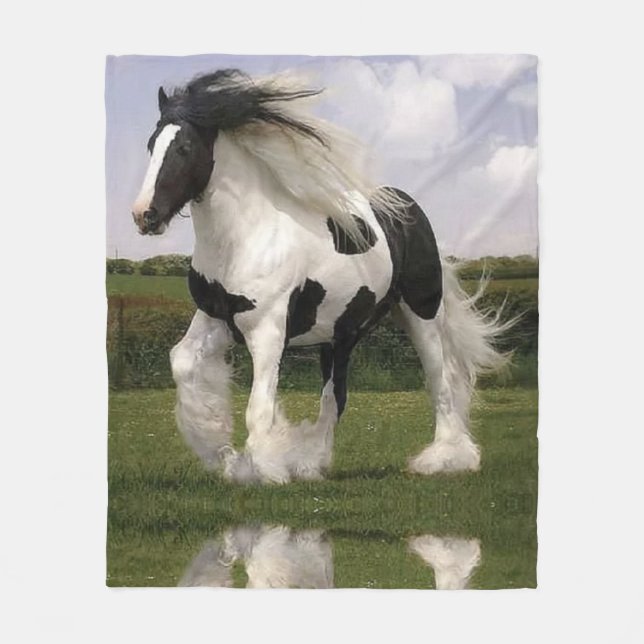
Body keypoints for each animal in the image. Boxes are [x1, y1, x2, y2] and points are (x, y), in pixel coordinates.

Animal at [131, 69, 508, 484]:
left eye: (184, 148)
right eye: (151, 145)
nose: (144, 215)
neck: (247, 235)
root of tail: (407, 209)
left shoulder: (267, 329)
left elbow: (259, 406)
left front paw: (264, 469)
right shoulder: (217, 317)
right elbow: (183, 366)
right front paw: (224, 454)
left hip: (420, 313)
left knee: (440, 381)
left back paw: (444, 459)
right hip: (341, 333)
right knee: (335, 396)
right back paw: (311, 463)